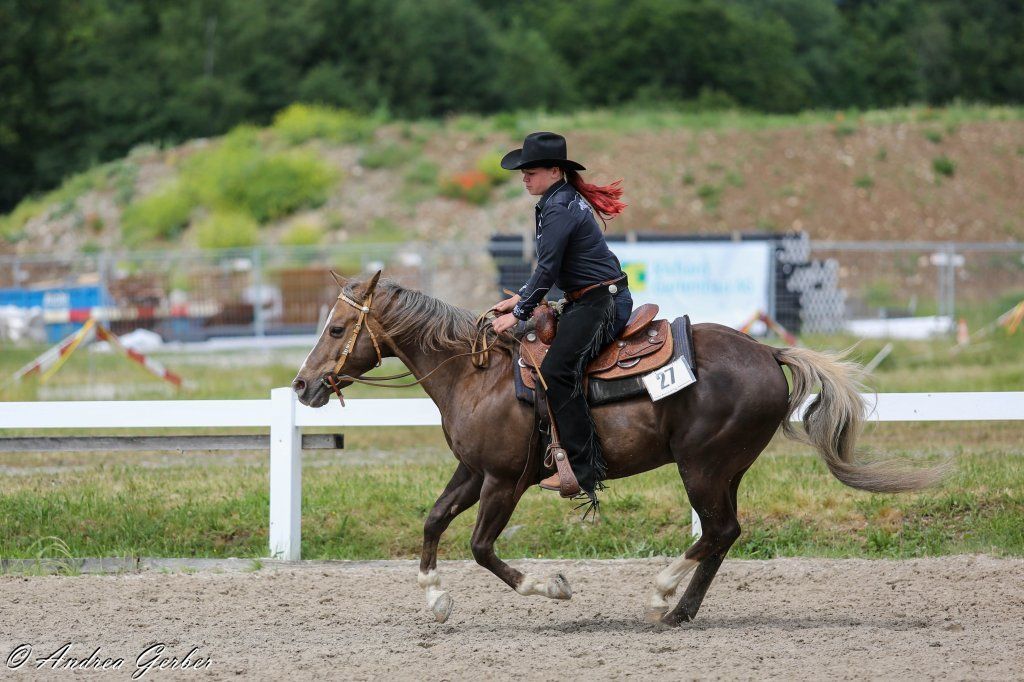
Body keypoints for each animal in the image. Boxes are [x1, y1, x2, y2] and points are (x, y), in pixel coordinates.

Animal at [291, 271, 945, 626]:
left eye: (335, 329)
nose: (302, 385)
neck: (476, 374)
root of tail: (767, 350)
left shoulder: (505, 479)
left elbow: (480, 547)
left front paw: (551, 587)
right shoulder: (473, 471)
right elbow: (432, 521)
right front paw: (434, 599)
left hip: (703, 465)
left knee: (716, 531)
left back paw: (660, 593)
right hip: (723, 468)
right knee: (724, 534)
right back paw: (680, 611)